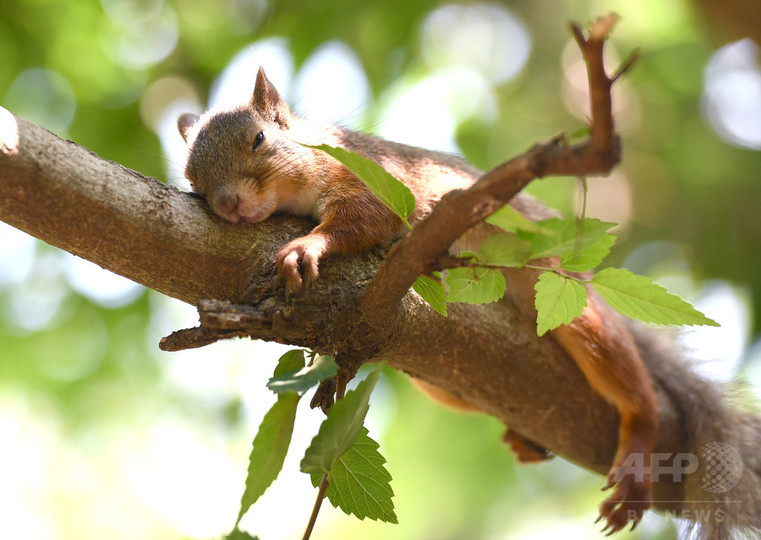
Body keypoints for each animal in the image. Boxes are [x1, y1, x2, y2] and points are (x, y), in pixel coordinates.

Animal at [178, 66, 712, 532]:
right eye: (192, 181)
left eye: (259, 140)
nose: (227, 204)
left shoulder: (370, 177)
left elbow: (364, 218)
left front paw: (307, 246)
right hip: (440, 384)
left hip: (567, 300)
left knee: (626, 377)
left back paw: (639, 440)